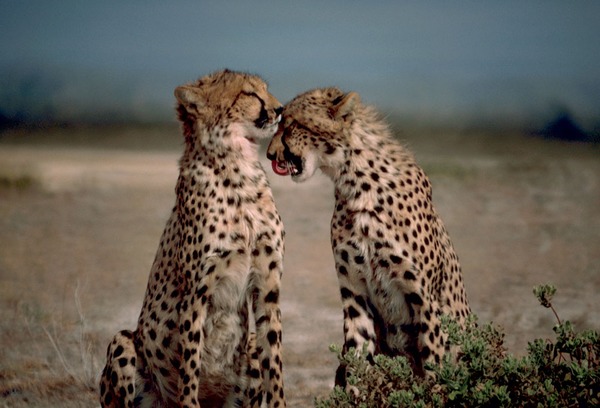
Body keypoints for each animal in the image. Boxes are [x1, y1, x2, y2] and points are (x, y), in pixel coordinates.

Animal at [101, 71, 288, 408]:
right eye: (249, 94)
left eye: (265, 89)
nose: (280, 109)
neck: (237, 170)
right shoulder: (195, 293)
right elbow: (190, 366)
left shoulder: (267, 286)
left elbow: (275, 362)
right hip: (123, 342)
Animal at [266, 87, 468, 380]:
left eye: (292, 124)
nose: (270, 155)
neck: (356, 184)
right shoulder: (355, 295)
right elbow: (356, 357)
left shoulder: (426, 302)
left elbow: (434, 367)